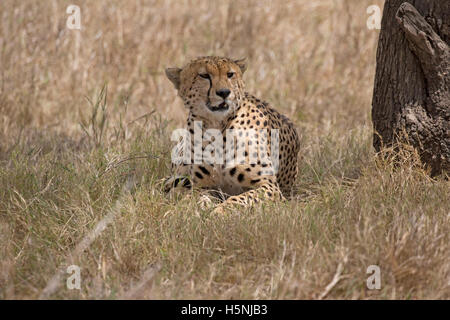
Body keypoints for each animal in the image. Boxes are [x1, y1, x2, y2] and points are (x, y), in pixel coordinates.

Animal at [164, 57, 298, 212]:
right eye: (204, 75)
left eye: (230, 74)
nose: (224, 92)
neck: (217, 125)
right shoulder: (203, 186)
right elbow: (197, 197)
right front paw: (194, 207)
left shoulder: (270, 187)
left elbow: (241, 199)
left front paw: (220, 211)